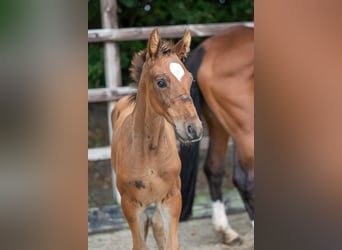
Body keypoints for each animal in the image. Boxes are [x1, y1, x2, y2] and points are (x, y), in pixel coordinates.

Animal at [111, 28, 203, 249]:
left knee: (157, 226)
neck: (149, 150)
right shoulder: (130, 205)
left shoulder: (172, 198)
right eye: (161, 82)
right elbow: (139, 244)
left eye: (190, 80)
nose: (193, 128)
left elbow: (171, 243)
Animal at [179, 24, 254, 244]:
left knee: (214, 168)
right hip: (246, 130)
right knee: (247, 181)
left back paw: (225, 230)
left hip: (222, 125)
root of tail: (206, 50)